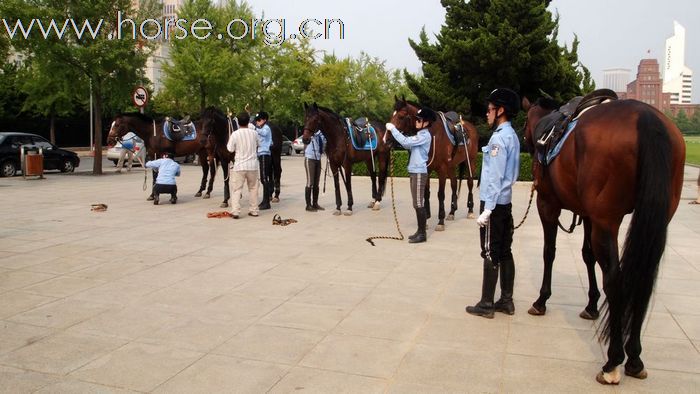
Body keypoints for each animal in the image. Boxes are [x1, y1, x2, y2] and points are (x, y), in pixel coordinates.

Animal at [388, 97, 482, 231]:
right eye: (392, 115)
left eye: (401, 116)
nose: (387, 139)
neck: (433, 134)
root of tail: (470, 127)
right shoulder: (426, 169)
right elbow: (426, 193)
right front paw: (426, 219)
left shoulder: (441, 169)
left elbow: (440, 194)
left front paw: (440, 221)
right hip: (452, 166)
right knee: (454, 184)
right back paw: (452, 212)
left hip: (471, 162)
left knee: (469, 183)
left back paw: (470, 210)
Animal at [524, 97, 684, 384]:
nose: (527, 145)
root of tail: (646, 117)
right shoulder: (588, 215)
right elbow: (587, 255)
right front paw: (591, 305)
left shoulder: (548, 205)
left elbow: (549, 251)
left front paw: (541, 300)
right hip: (654, 219)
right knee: (643, 279)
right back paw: (634, 358)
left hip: (607, 221)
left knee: (615, 279)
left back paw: (613, 361)